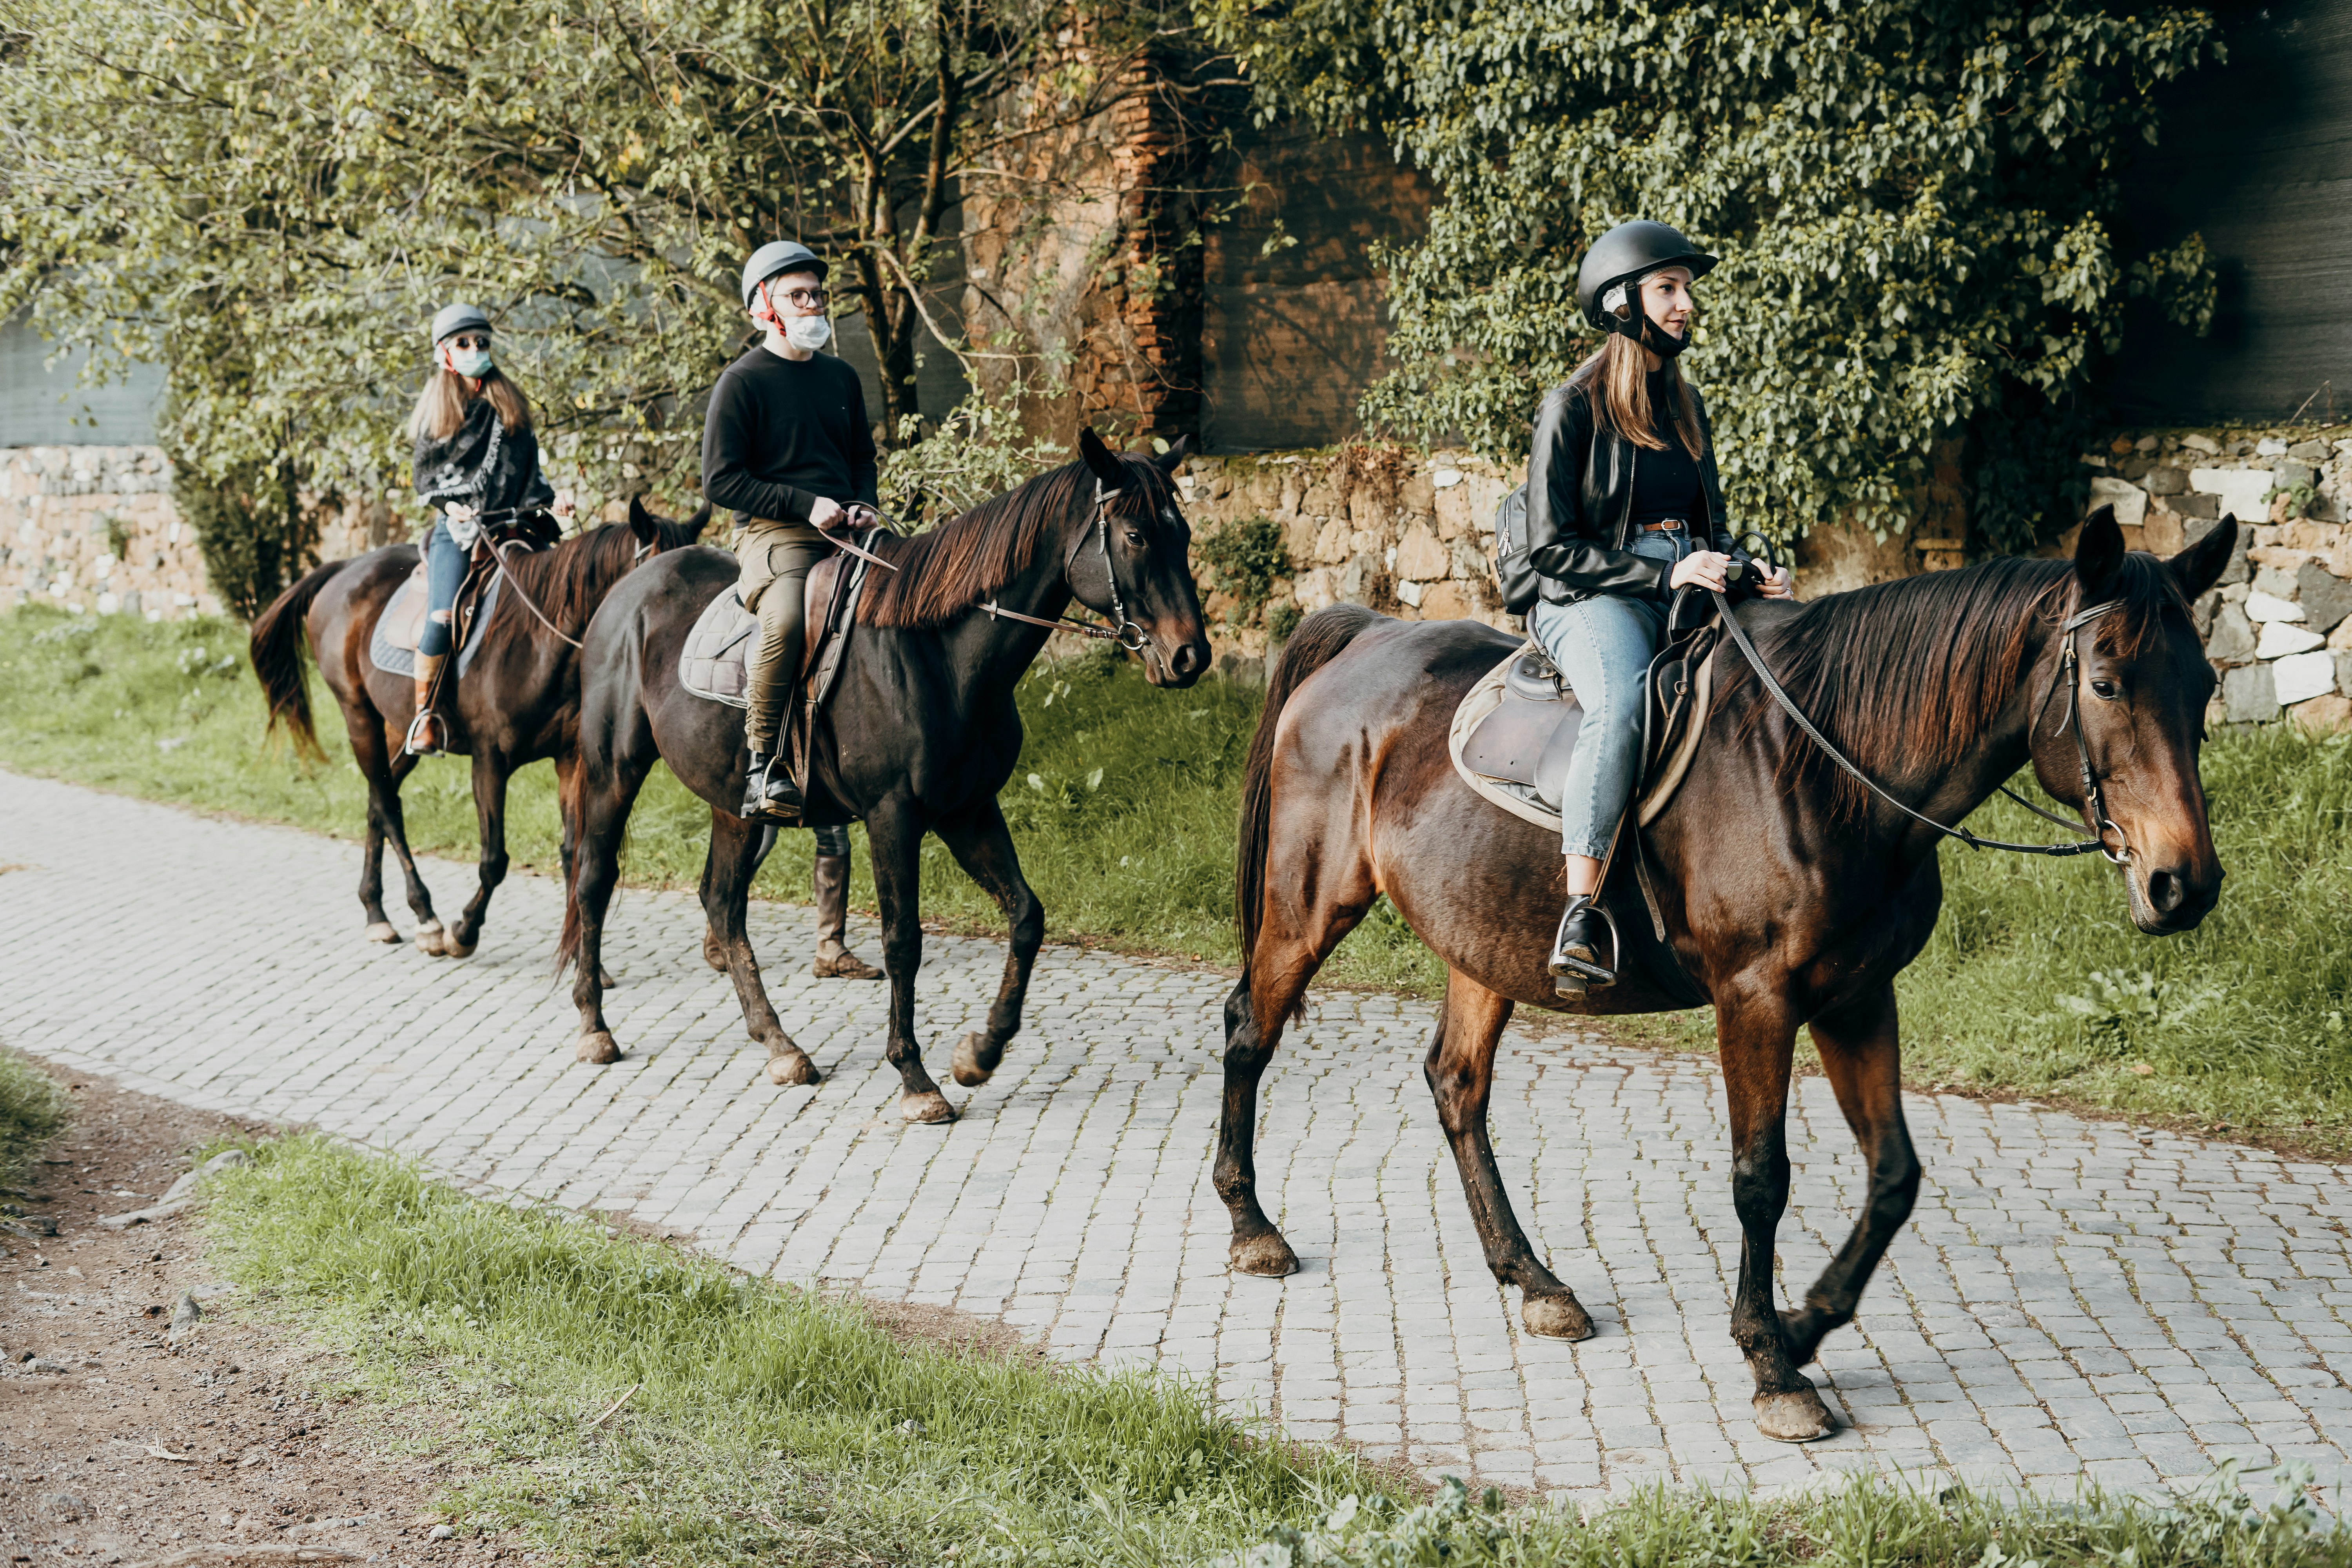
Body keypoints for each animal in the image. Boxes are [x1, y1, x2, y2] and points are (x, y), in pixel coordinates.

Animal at [250, 496, 706, 959]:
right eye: (664, 583)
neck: (539, 641)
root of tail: (345, 570)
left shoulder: (570, 761)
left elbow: (572, 854)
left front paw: (580, 956)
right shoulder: (490, 760)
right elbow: (494, 860)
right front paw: (464, 931)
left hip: (399, 731)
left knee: (378, 800)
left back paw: (376, 912)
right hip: (359, 716)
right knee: (389, 807)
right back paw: (426, 917)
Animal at [555, 430, 1214, 1114]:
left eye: (1184, 532)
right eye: (1136, 535)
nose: (1190, 656)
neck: (939, 651)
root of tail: (627, 592)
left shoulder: (968, 810)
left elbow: (1027, 918)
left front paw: (980, 1054)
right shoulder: (892, 816)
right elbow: (903, 940)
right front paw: (915, 1077)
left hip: (731, 804)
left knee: (722, 901)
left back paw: (779, 1045)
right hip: (612, 772)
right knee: (593, 881)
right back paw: (595, 1027)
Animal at [1223, 512, 2230, 1448]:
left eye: (2206, 685)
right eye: (2106, 683)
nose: (2184, 883)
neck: (1827, 771)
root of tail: (1366, 636)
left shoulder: (1856, 994)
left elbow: (1894, 1175)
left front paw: (1805, 1323)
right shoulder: (1757, 998)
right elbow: (1761, 1178)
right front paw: (1770, 1360)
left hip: (1483, 938)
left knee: (1456, 1081)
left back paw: (1533, 1280)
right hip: (1310, 902)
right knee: (1250, 1030)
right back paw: (1253, 1229)